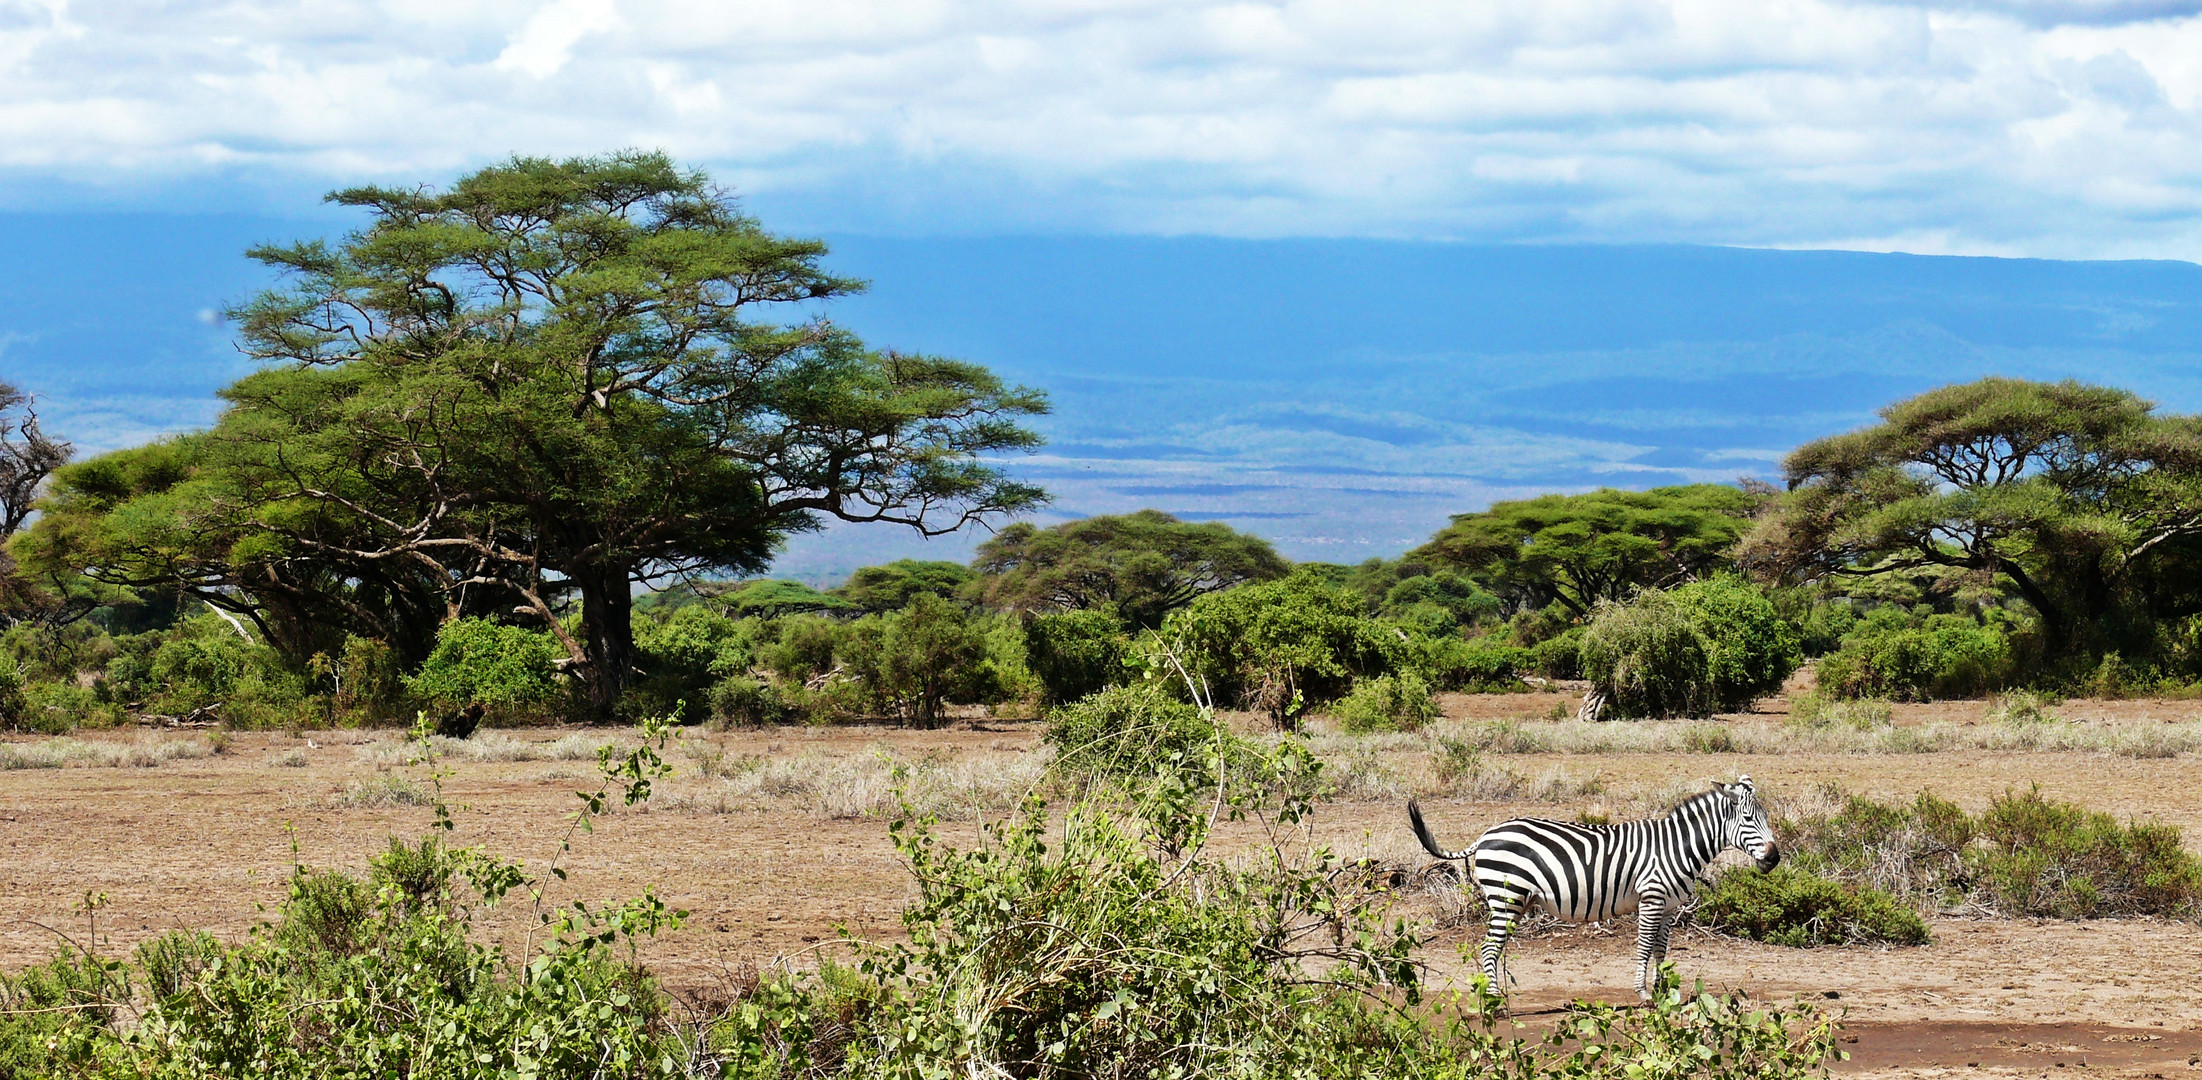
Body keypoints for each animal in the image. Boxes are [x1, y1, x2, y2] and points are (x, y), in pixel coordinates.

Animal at [1409, 775, 1788, 1005]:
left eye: (1766, 818)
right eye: (1749, 819)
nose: (1774, 858)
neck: (1676, 847)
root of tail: (1487, 833)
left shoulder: (1668, 907)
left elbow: (1662, 951)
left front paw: (1664, 993)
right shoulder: (1651, 899)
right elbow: (1644, 948)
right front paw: (1643, 995)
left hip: (1513, 901)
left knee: (1494, 949)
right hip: (1506, 898)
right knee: (1489, 948)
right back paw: (1496, 1001)